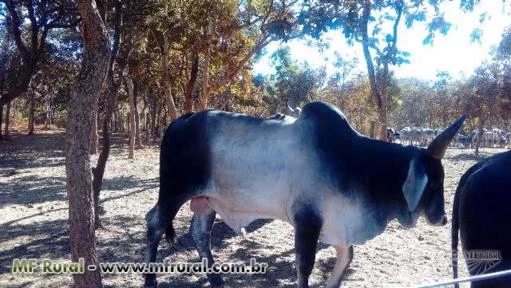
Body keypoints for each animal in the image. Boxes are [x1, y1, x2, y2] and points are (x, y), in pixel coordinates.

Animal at [144, 102, 468, 288]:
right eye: (433, 183)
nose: (443, 218)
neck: (355, 162)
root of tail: (179, 121)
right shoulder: (307, 220)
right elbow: (305, 266)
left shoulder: (339, 225)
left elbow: (346, 259)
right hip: (174, 191)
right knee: (154, 223)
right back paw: (150, 280)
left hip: (208, 200)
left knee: (200, 234)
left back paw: (216, 279)